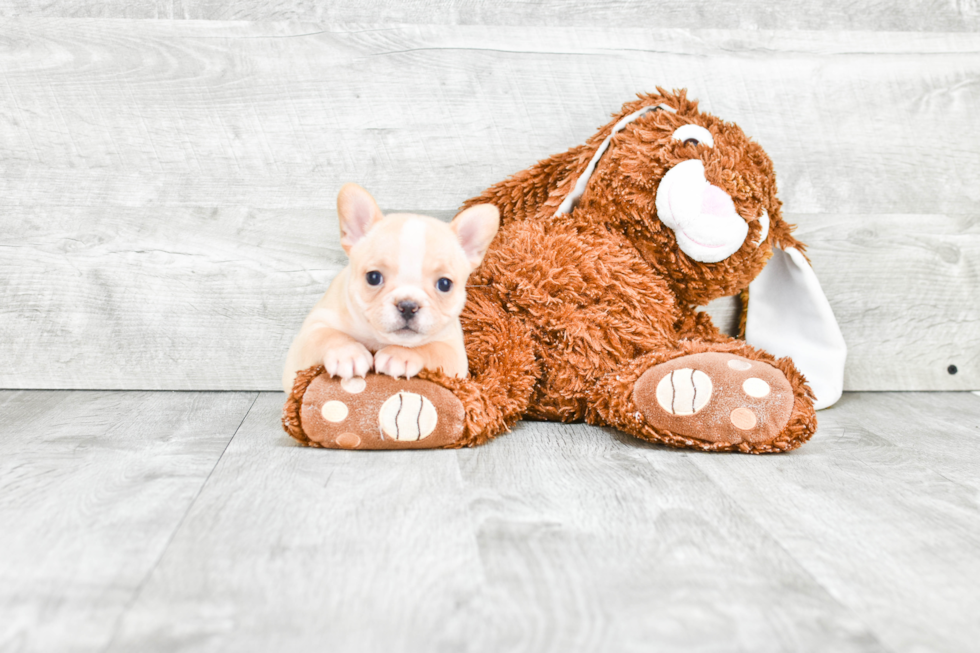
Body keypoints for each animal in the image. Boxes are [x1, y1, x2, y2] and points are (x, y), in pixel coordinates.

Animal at [282, 183, 498, 392]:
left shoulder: (453, 353)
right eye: (373, 277)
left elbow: (430, 349)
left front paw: (400, 355)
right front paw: (347, 354)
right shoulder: (308, 335)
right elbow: (326, 336)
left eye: (445, 284)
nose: (408, 306)